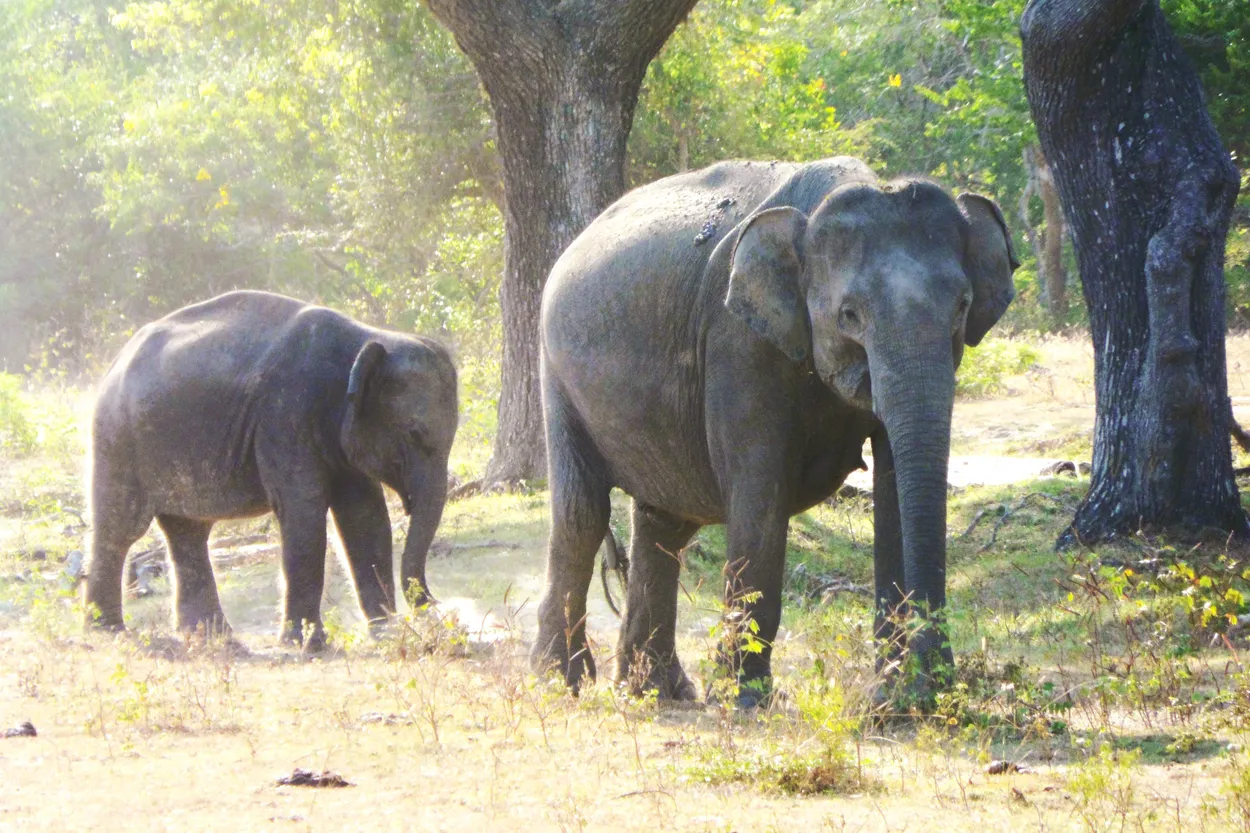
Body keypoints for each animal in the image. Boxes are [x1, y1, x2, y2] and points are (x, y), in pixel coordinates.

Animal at [84, 290, 459, 648]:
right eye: (414, 434)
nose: (435, 603)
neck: (367, 339)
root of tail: (115, 362)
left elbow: (364, 516)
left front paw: (385, 633)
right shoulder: (285, 414)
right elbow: (304, 511)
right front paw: (307, 645)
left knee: (188, 531)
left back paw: (214, 637)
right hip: (116, 439)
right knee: (121, 528)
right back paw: (108, 630)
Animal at [532, 156, 1017, 704]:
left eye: (962, 306)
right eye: (849, 314)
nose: (935, 685)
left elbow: (893, 491)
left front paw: (892, 699)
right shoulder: (738, 343)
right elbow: (760, 489)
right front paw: (743, 700)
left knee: (664, 526)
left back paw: (658, 691)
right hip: (557, 374)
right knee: (583, 514)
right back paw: (559, 681)